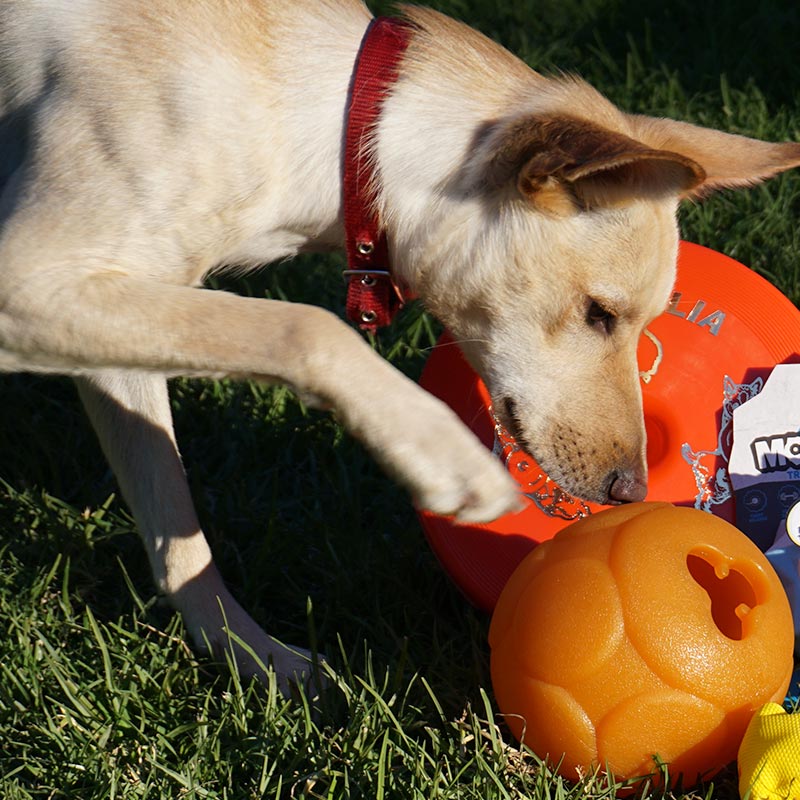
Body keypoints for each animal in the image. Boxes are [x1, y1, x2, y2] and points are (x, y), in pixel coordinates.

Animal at [1, 0, 800, 692]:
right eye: (599, 314)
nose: (631, 492)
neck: (335, 126)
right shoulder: (32, 281)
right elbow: (308, 328)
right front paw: (444, 458)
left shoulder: (118, 304)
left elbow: (175, 529)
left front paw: (253, 660)